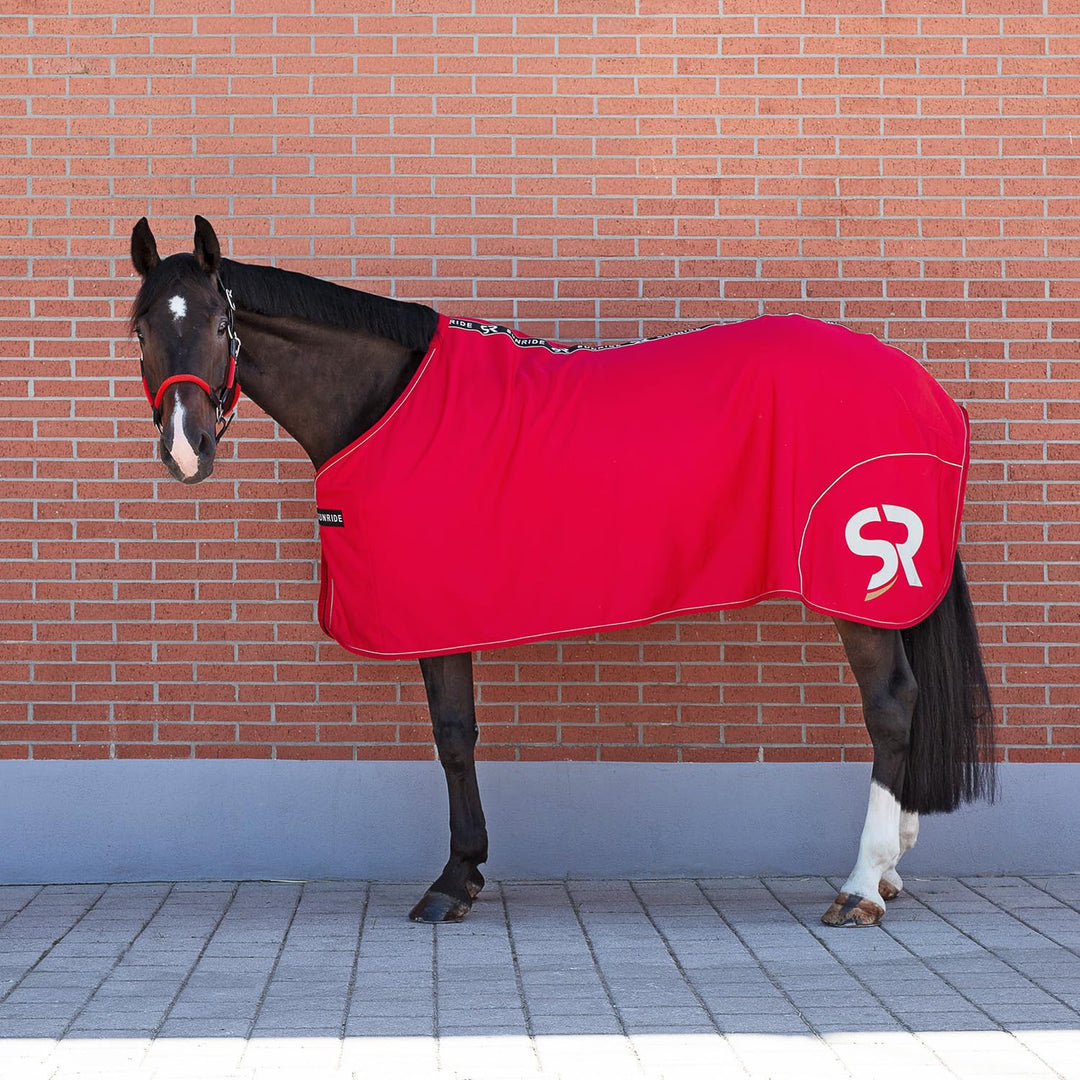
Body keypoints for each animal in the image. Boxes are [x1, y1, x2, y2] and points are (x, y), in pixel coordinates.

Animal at [126, 216, 996, 927]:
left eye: (219, 322)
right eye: (139, 328)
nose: (185, 448)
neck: (385, 401)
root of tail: (927, 392)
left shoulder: (435, 609)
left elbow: (454, 737)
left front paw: (455, 880)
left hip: (855, 580)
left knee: (891, 706)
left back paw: (859, 886)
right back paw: (890, 873)